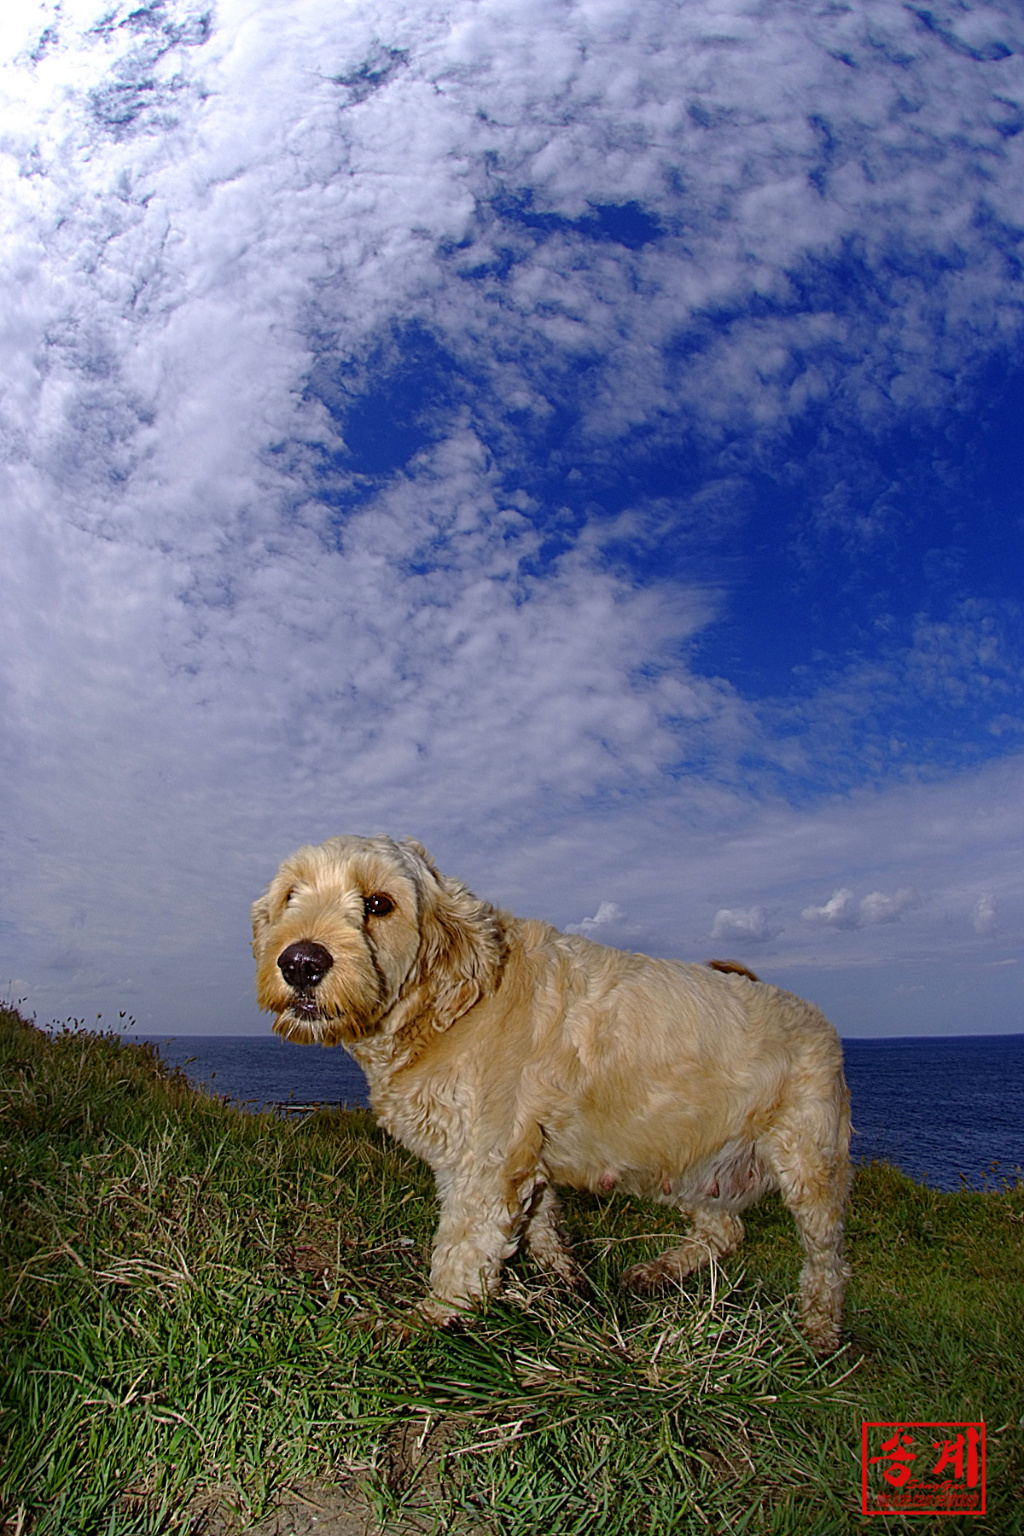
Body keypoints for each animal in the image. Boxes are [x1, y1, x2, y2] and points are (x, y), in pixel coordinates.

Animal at [251, 835, 853, 1351]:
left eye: (378, 903)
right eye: (291, 895)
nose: (301, 961)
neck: (447, 1003)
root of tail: (817, 1016)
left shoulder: (486, 1162)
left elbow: (462, 1252)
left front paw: (427, 1319)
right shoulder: (524, 1156)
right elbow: (539, 1227)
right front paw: (565, 1279)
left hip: (810, 1166)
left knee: (825, 1263)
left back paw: (820, 1332)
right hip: (689, 1157)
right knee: (724, 1228)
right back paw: (658, 1271)